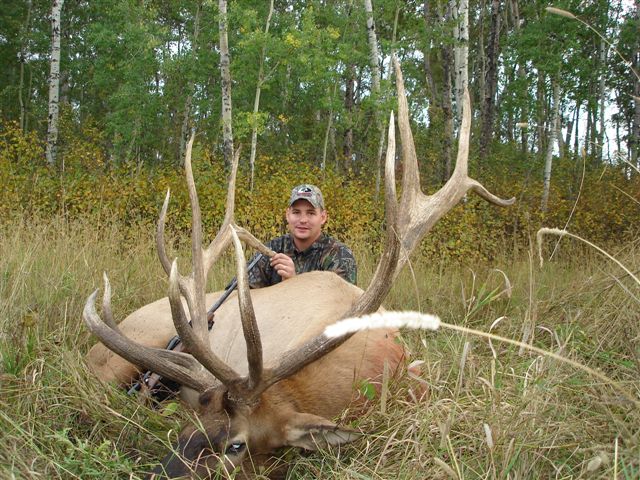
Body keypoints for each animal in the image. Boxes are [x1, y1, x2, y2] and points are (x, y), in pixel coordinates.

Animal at [83, 59, 514, 478]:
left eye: (236, 445)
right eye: (191, 422)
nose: (159, 474)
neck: (382, 373)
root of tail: (92, 351)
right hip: (131, 350)